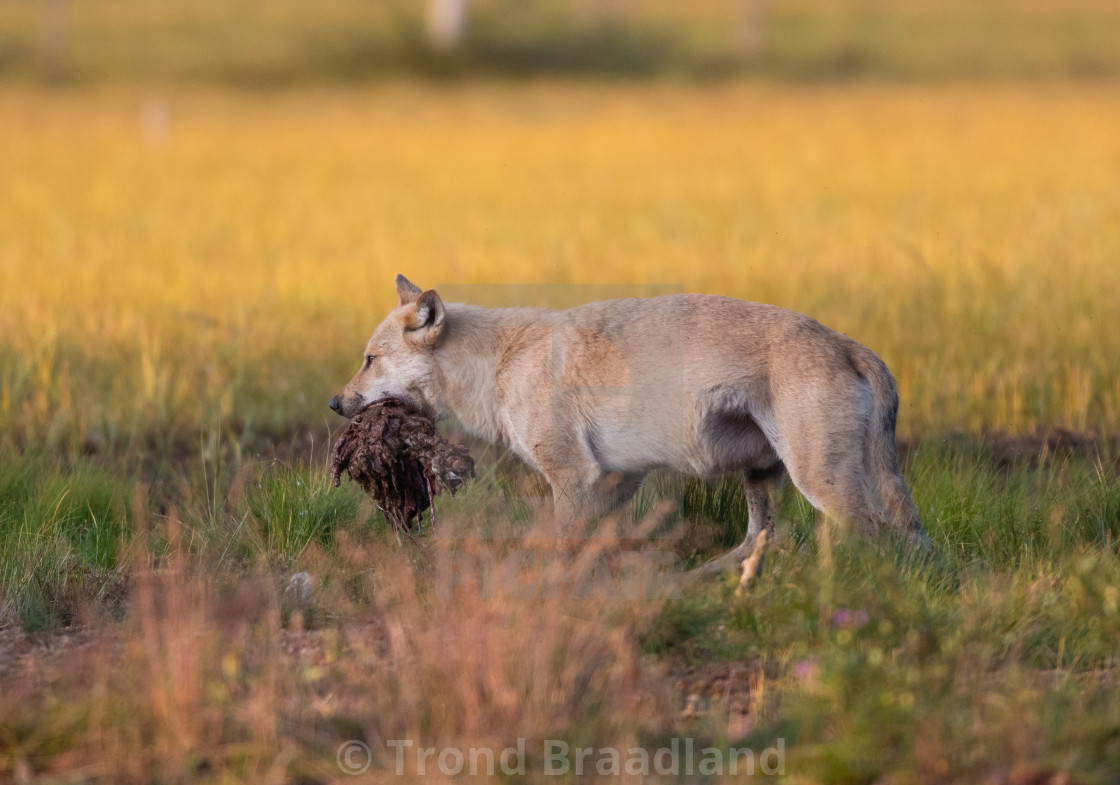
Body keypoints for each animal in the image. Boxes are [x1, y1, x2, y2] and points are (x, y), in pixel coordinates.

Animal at [329, 275, 927, 568]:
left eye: (368, 360)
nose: (335, 403)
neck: (499, 363)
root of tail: (850, 345)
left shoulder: (574, 478)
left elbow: (564, 551)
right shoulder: (617, 480)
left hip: (819, 484)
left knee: (878, 540)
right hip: (763, 480)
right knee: (760, 542)